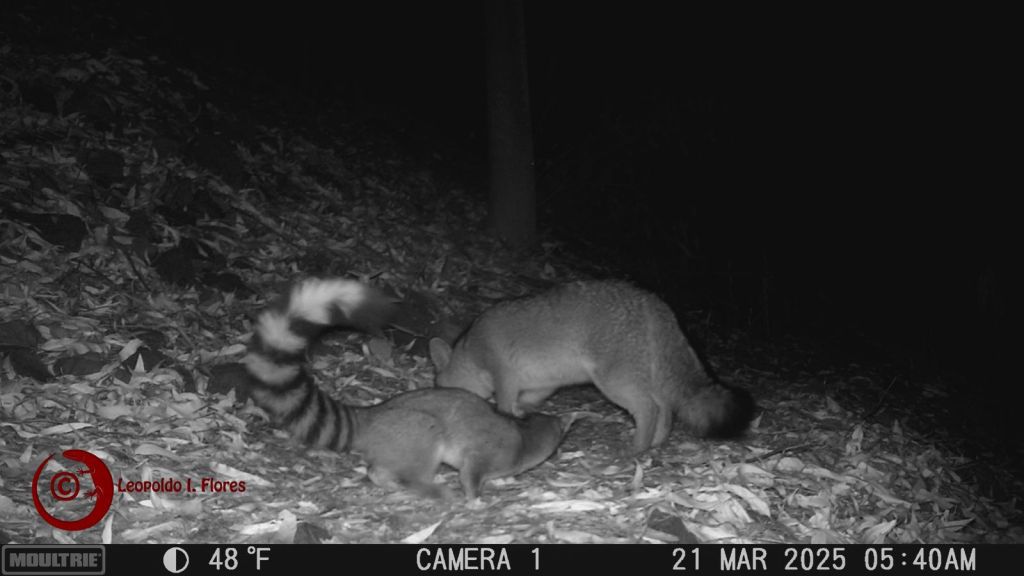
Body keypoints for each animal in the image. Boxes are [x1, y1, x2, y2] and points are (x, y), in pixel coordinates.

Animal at [243, 278, 567, 499]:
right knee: (413, 457)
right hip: (417, 430)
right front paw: (474, 496)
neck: (524, 432)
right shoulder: (487, 452)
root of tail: (372, 414)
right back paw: (427, 487)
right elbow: (471, 473)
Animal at [430, 280, 754, 454]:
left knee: (649, 408)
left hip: (614, 383)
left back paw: (637, 448)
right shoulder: (542, 385)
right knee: (665, 410)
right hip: (645, 379)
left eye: (437, 389)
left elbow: (505, 405)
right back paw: (655, 444)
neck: (470, 348)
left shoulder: (504, 376)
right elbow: (526, 403)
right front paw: (526, 416)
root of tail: (651, 300)